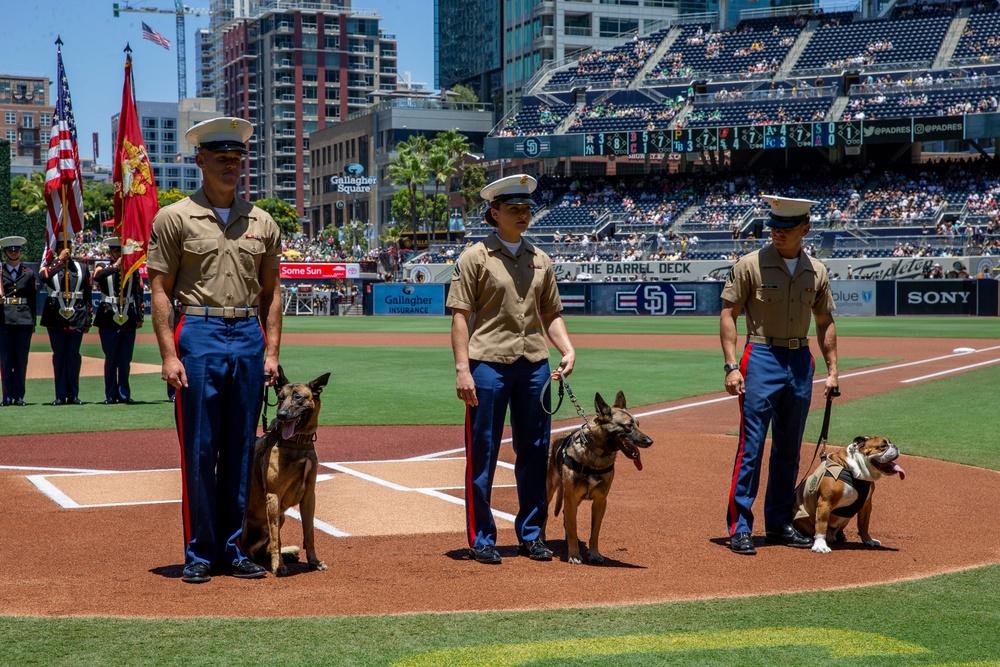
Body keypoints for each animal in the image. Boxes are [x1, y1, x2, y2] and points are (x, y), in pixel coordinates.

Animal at [243, 366, 330, 576]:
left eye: (298, 397)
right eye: (280, 398)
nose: (281, 414)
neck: (298, 442)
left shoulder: (309, 496)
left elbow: (309, 534)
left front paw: (314, 562)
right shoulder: (273, 496)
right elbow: (277, 538)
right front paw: (278, 565)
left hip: (281, 517)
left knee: (260, 552)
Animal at [548, 392, 656, 564]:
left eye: (638, 424)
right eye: (629, 426)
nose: (650, 441)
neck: (596, 454)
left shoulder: (600, 501)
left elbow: (594, 533)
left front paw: (594, 554)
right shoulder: (571, 498)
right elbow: (573, 530)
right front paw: (574, 555)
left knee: (565, 514)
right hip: (550, 491)